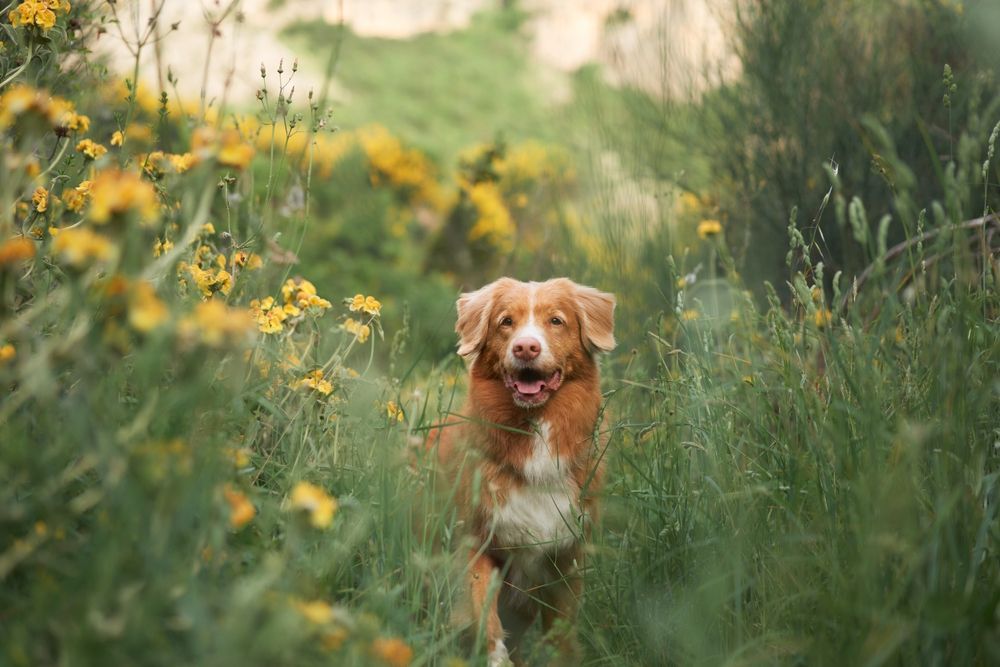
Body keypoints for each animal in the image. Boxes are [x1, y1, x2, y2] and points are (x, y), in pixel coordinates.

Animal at [434, 276, 612, 664]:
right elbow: (482, 611)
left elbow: (562, 637)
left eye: (556, 321)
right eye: (506, 322)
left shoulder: (566, 558)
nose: (526, 347)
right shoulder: (475, 541)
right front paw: (495, 656)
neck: (533, 436)